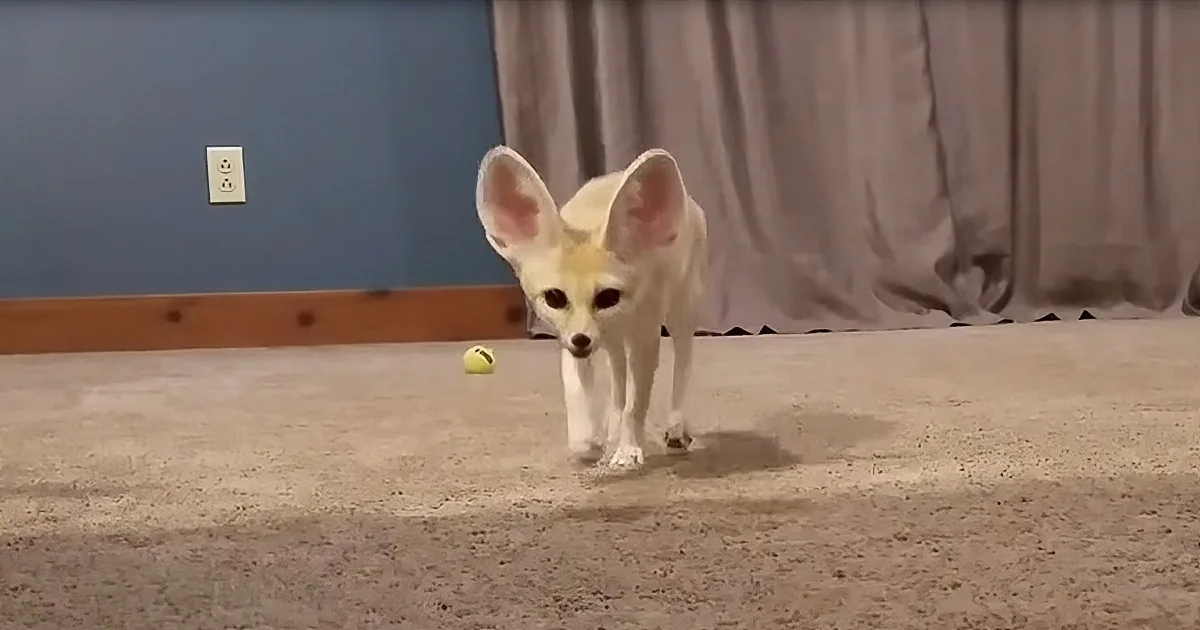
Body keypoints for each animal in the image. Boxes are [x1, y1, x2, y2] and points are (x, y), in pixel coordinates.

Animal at [474, 145, 709, 470]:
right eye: (555, 298)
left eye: (608, 297)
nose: (581, 340)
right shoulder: (569, 338)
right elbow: (578, 390)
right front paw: (586, 441)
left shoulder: (645, 338)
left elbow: (637, 402)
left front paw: (628, 448)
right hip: (614, 341)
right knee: (617, 373)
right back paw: (612, 425)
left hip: (681, 312)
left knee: (683, 363)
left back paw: (675, 425)